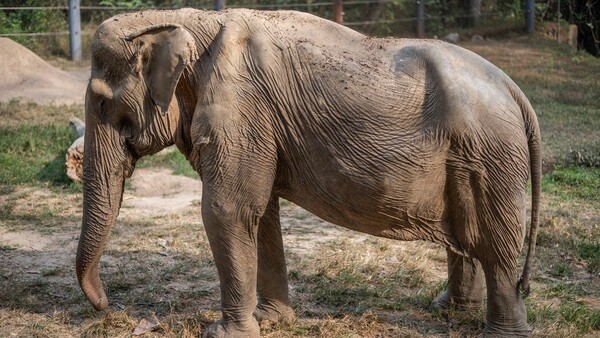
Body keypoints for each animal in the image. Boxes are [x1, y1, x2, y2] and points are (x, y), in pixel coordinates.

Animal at [75, 7, 540, 338]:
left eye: (101, 103)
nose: (108, 306)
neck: (190, 21)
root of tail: (516, 91)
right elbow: (260, 214)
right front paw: (273, 322)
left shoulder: (241, 109)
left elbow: (228, 210)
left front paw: (223, 333)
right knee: (470, 236)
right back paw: (447, 309)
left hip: (491, 155)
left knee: (496, 244)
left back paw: (500, 333)